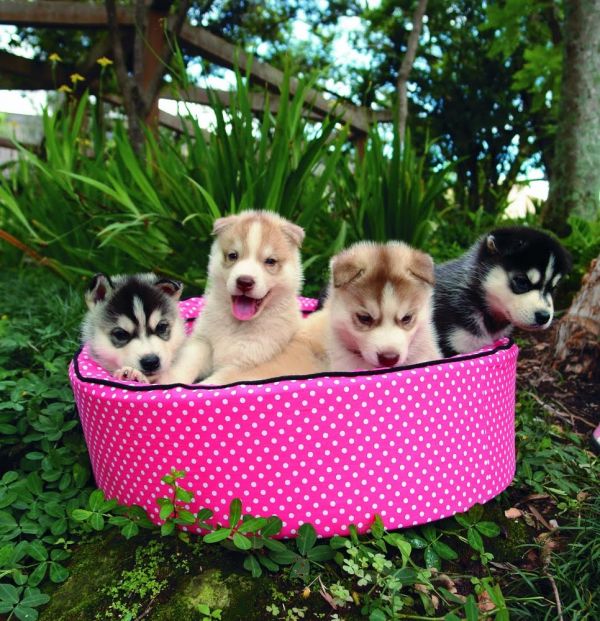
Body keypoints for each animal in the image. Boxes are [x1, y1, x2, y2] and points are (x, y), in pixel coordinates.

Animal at [163, 210, 305, 385]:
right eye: (233, 255)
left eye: (270, 261)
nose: (244, 281)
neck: (237, 325)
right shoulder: (202, 342)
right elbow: (186, 365)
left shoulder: (244, 364)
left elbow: (212, 383)